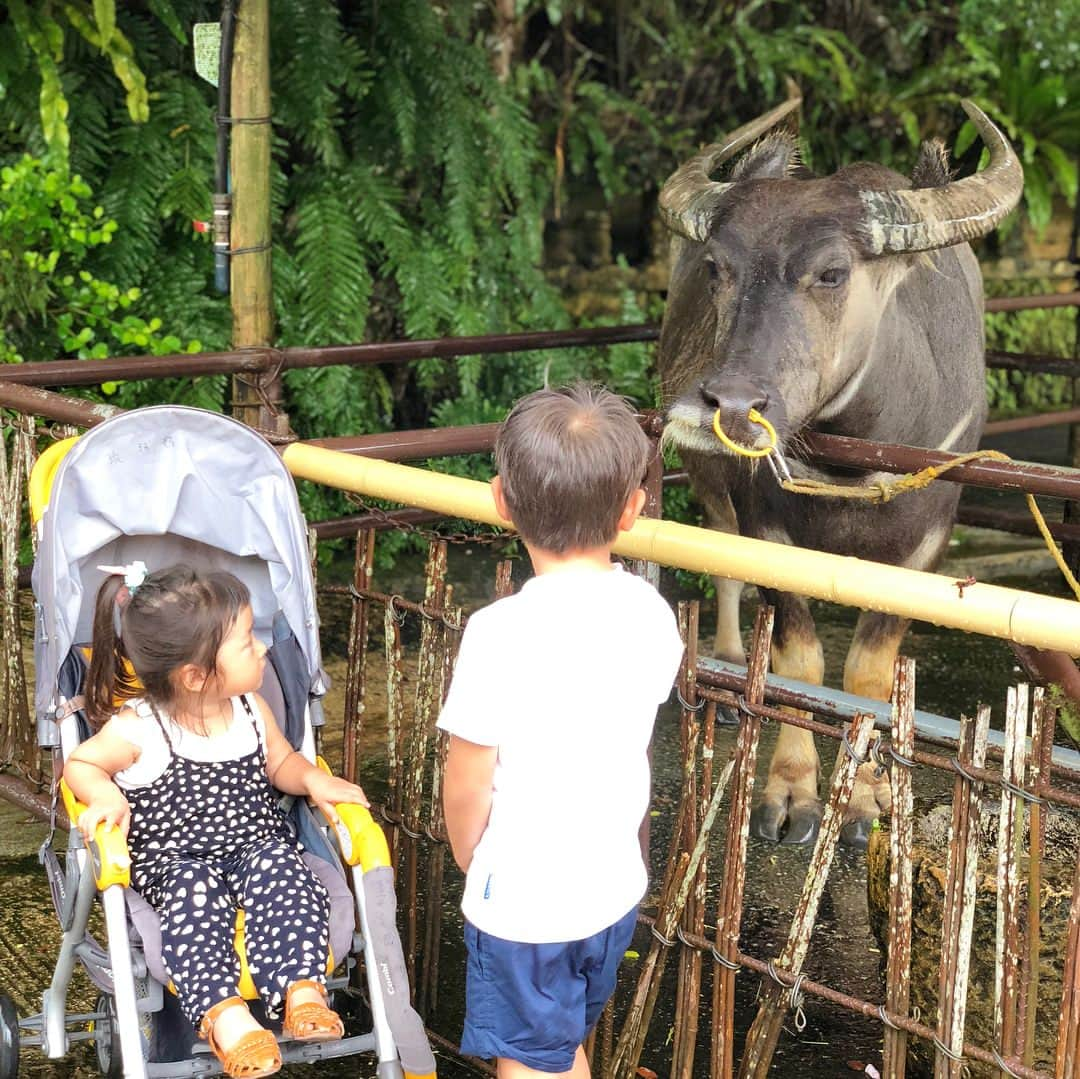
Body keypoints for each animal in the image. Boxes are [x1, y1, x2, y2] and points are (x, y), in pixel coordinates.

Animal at [656, 97, 1019, 846]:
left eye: (831, 272)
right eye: (717, 268)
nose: (726, 406)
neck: (852, 459)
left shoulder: (923, 550)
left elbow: (868, 674)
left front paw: (865, 798)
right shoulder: (768, 531)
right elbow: (800, 662)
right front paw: (791, 791)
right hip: (709, 483)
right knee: (721, 562)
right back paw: (728, 667)